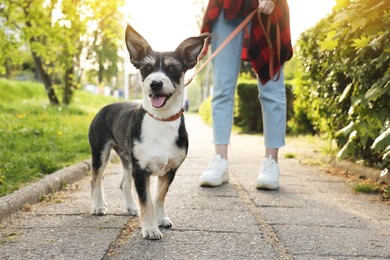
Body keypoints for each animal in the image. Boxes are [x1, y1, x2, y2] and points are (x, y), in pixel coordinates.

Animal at [88, 24, 210, 240]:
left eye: (172, 69)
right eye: (146, 69)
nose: (155, 83)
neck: (160, 120)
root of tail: (104, 107)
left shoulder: (169, 170)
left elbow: (158, 197)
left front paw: (161, 219)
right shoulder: (141, 170)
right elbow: (146, 201)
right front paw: (150, 228)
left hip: (127, 158)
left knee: (123, 184)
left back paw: (131, 207)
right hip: (101, 151)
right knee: (95, 179)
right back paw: (98, 206)